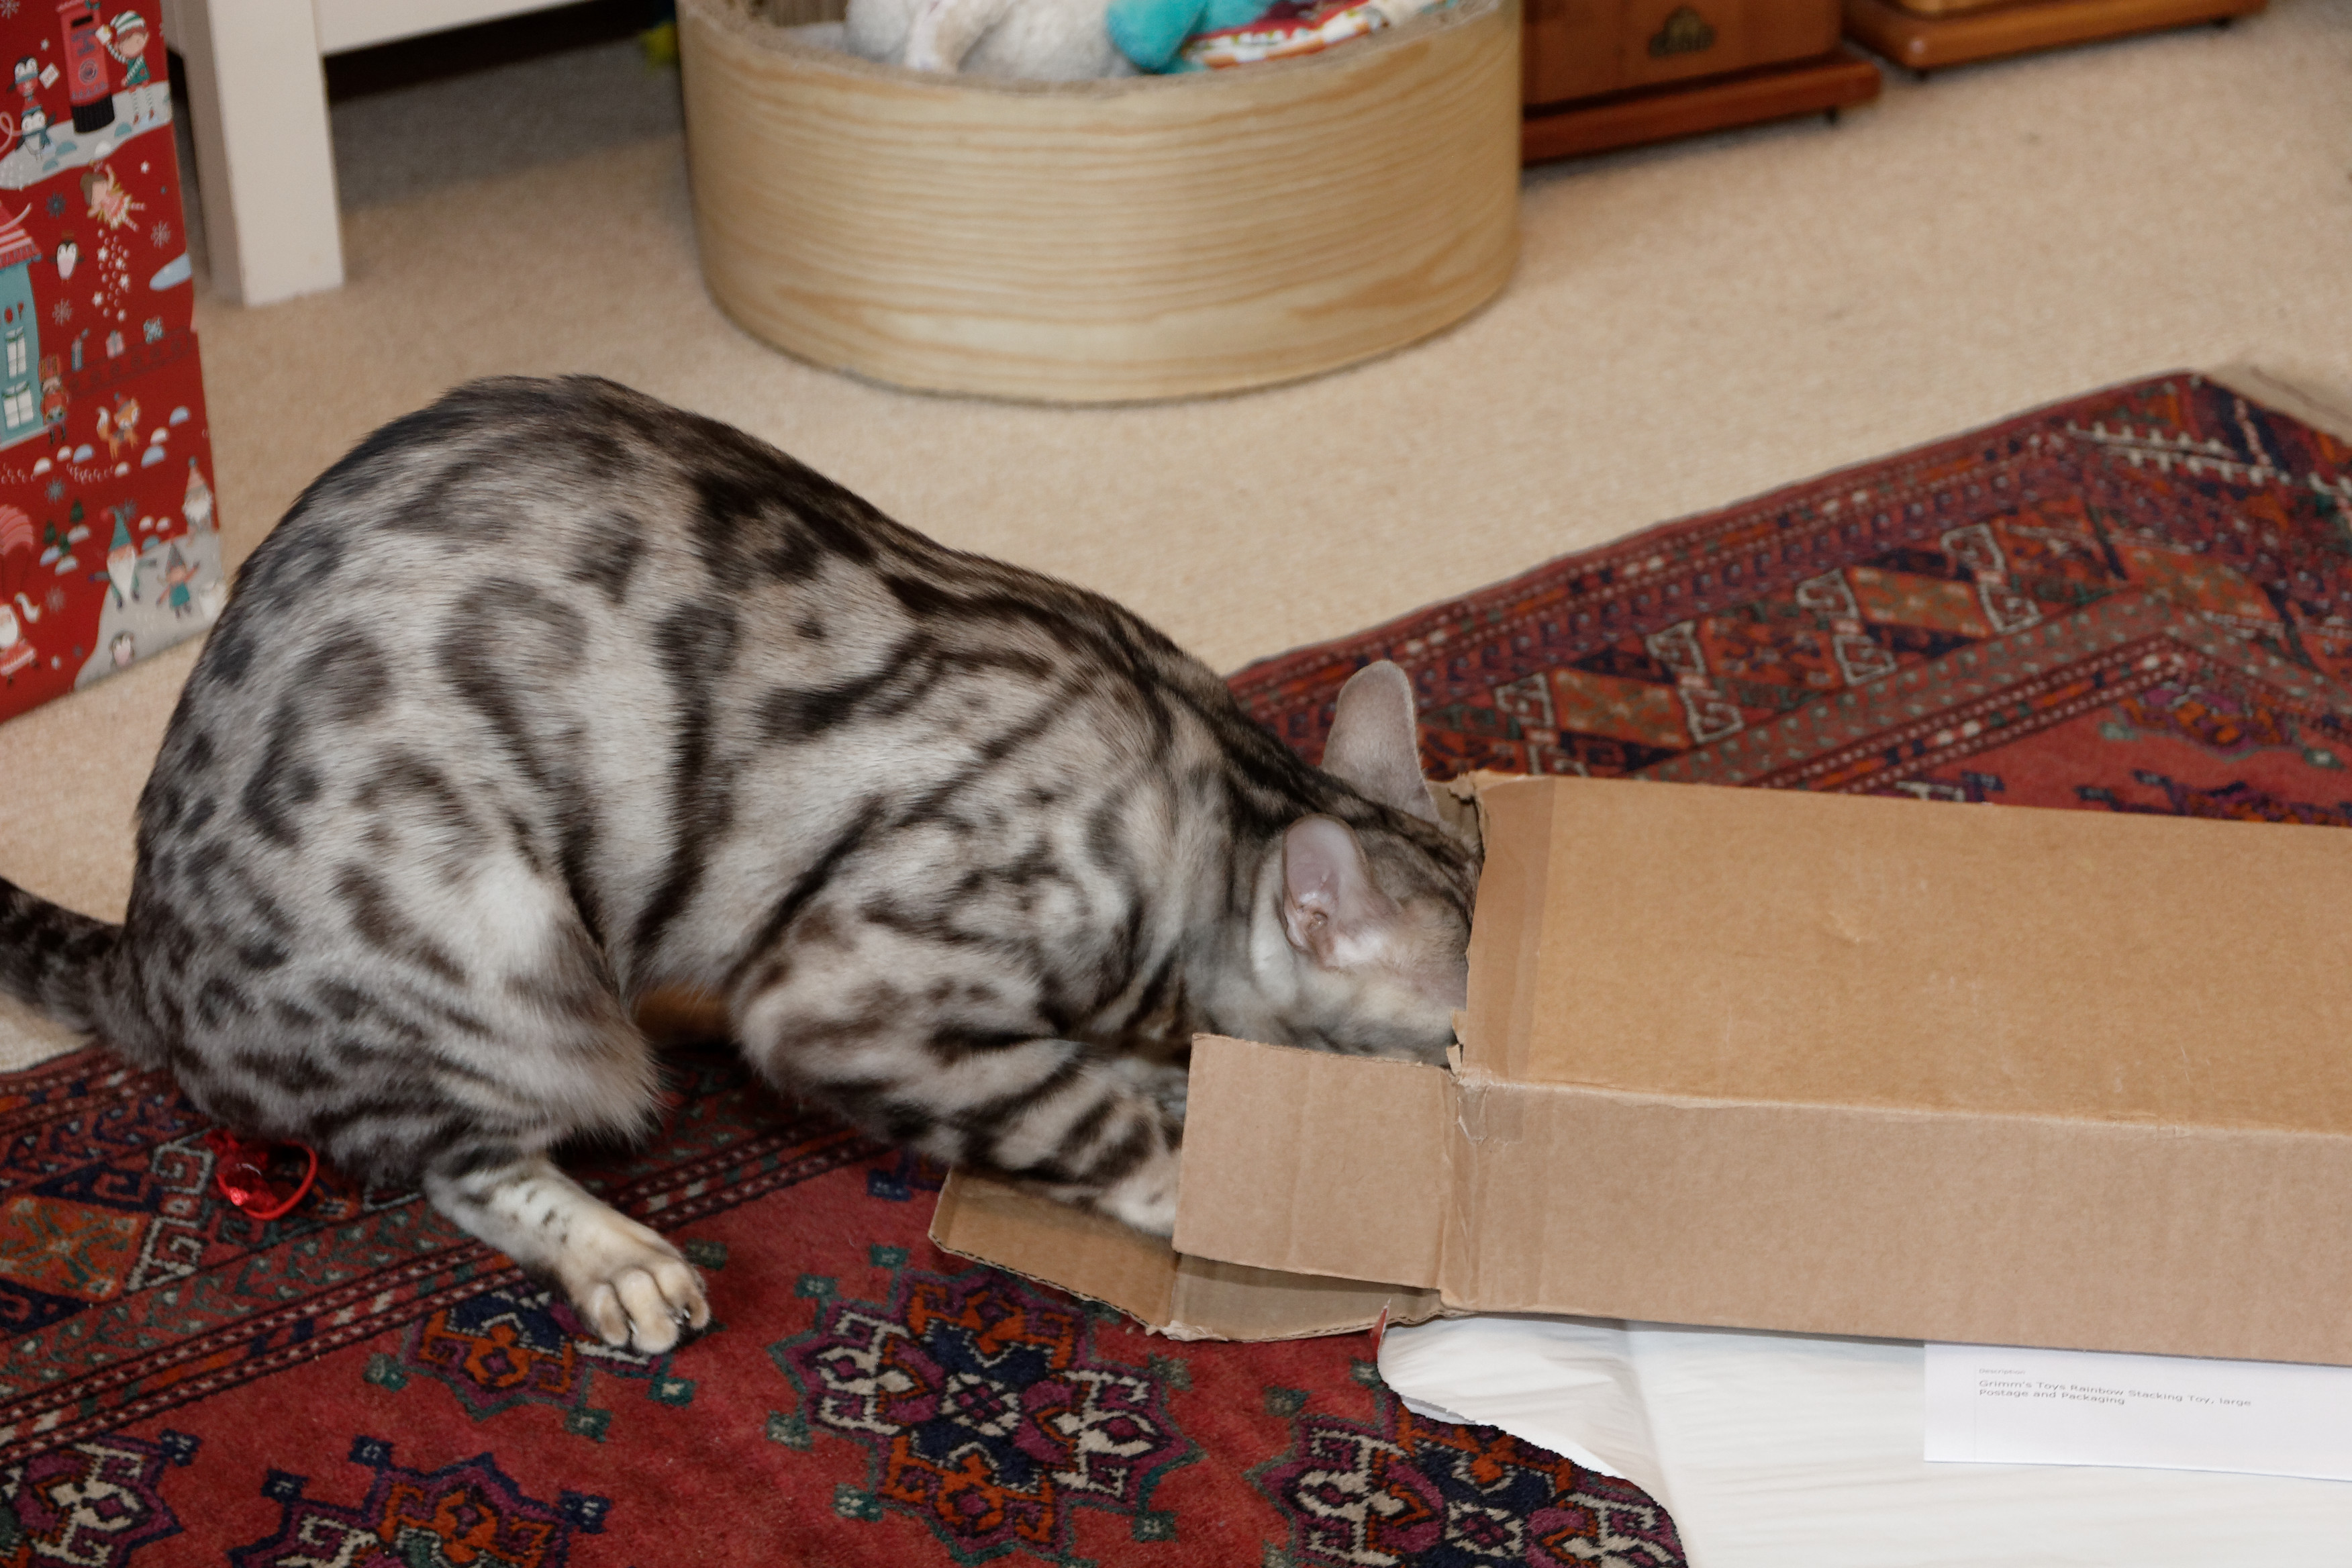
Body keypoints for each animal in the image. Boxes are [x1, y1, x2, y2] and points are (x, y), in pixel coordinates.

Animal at [0, 376, 1479, 1355]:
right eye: (1454, 1048)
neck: (1221, 796)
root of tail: (149, 953)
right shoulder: (843, 996)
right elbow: (1090, 1122)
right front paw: (1194, 1183)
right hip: (498, 961)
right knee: (453, 1158)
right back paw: (619, 1258)